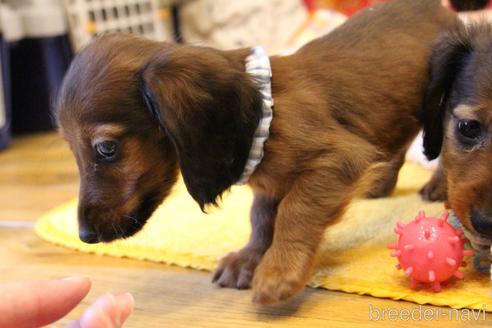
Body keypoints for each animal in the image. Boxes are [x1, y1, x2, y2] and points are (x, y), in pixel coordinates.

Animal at [58, 0, 458, 304]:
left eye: (106, 148)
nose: (84, 236)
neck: (266, 109)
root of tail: (438, 9)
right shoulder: (268, 183)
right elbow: (262, 217)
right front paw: (250, 258)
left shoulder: (338, 157)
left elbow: (295, 211)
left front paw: (279, 269)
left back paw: (440, 186)